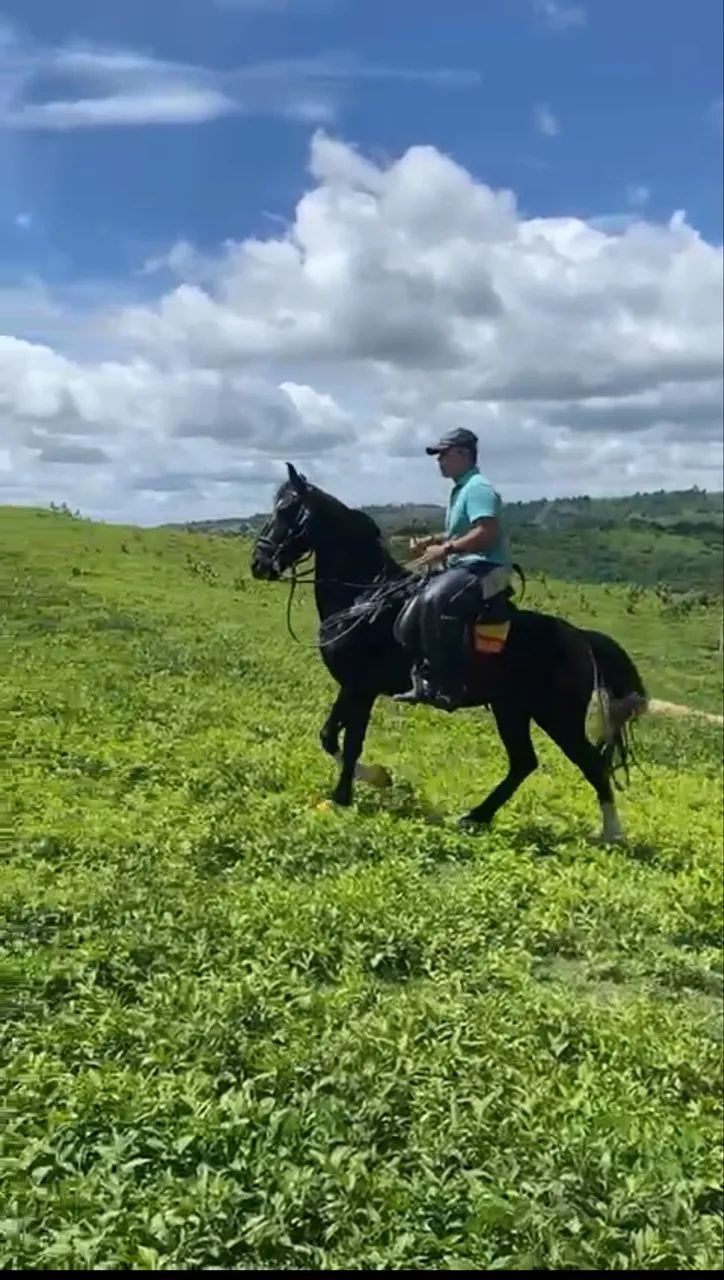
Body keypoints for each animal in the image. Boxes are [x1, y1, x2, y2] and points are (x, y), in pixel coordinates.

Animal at [250, 464, 649, 843]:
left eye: (286, 509)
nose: (259, 563)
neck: (364, 599)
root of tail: (581, 638)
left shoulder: (360, 687)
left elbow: (350, 742)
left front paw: (343, 797)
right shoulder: (351, 686)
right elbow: (329, 735)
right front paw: (377, 778)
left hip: (556, 715)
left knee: (590, 764)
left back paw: (612, 834)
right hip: (512, 709)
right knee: (524, 762)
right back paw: (476, 816)